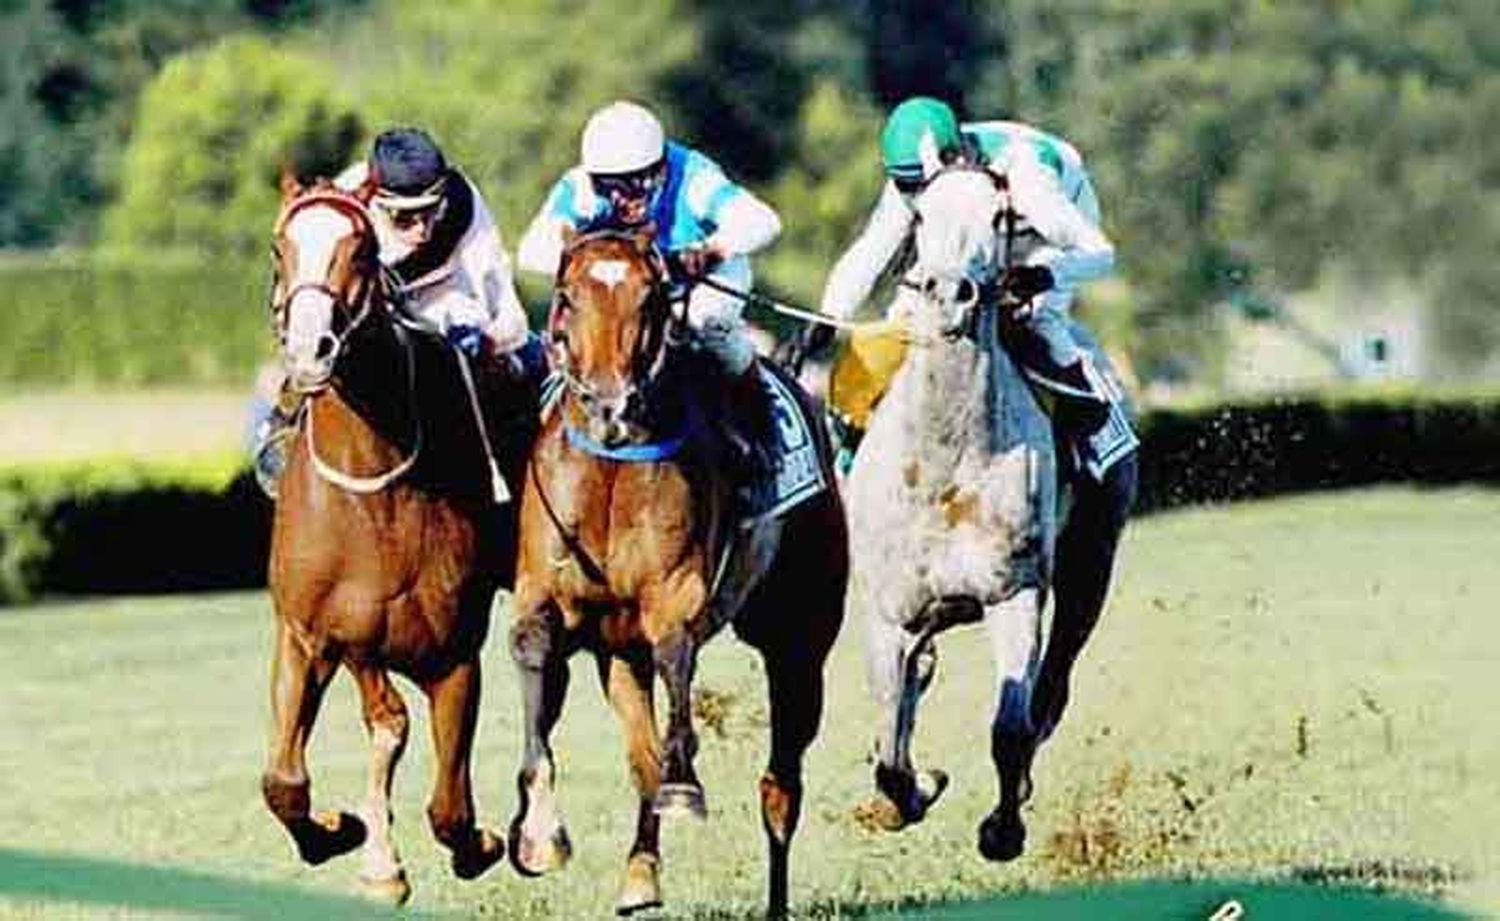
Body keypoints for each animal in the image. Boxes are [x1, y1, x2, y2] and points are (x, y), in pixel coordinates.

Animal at [262, 174, 534, 912]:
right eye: (278, 246)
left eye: (360, 249)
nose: (310, 350)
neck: (369, 488)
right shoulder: (311, 634)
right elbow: (285, 781)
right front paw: (344, 834)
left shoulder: (452, 653)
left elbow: (450, 808)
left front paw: (479, 845)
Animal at [510, 229, 852, 918]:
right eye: (568, 296)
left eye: (651, 298)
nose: (611, 406)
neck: (610, 468)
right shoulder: (547, 595)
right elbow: (533, 653)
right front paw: (539, 832)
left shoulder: (674, 596)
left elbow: (676, 661)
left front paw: (684, 784)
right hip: (620, 653)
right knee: (641, 754)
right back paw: (641, 873)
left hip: (800, 638)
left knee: (781, 783)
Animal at [852, 160, 1062, 864]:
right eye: (920, 217)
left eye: (1001, 216)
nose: (949, 294)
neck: (944, 464)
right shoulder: (890, 613)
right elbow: (891, 738)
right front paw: (904, 796)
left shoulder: (1012, 593)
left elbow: (1009, 724)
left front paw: (1002, 829)